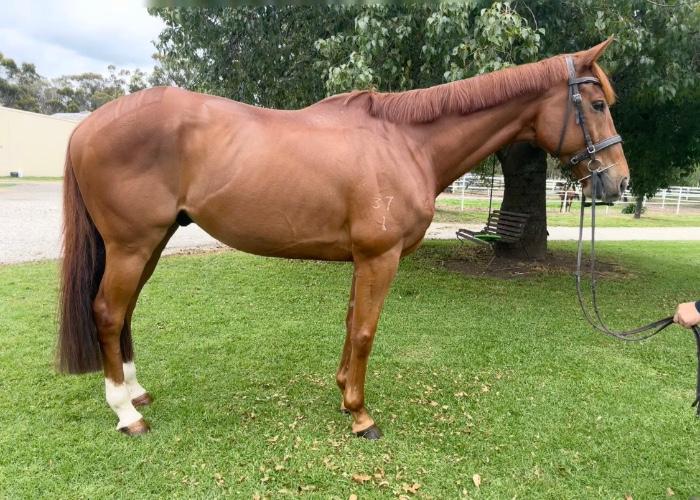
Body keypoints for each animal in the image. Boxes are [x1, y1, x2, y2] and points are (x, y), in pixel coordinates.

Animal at [58, 38, 629, 438]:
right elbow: (365, 332)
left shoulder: (363, 258)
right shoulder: (381, 257)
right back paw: (126, 414)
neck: (405, 143)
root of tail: (86, 126)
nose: (618, 183)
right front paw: (360, 416)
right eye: (597, 103)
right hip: (132, 245)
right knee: (108, 313)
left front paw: (342, 395)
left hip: (149, 245)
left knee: (125, 313)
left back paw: (136, 393)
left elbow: (351, 322)